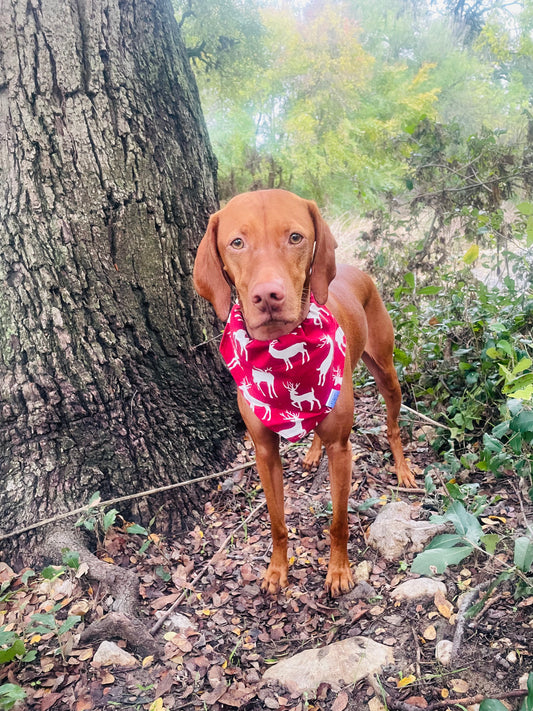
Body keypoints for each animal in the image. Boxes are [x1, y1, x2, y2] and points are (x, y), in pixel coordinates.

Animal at [192, 189, 416, 596]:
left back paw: (403, 469)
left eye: (296, 237)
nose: (268, 295)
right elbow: (277, 521)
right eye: (237, 242)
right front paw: (277, 570)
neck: (279, 351)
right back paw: (312, 452)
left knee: (392, 425)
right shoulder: (264, 451)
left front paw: (339, 572)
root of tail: (353, 269)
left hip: (386, 371)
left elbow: (339, 522)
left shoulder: (342, 450)